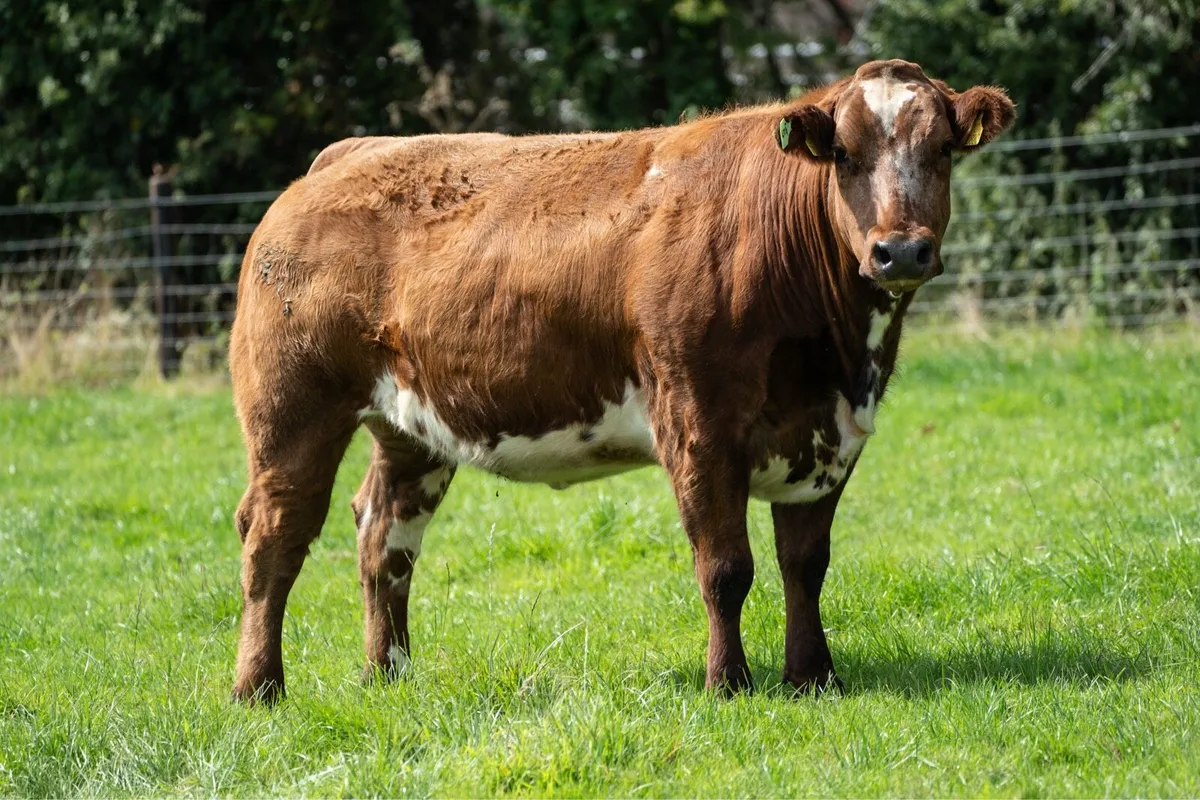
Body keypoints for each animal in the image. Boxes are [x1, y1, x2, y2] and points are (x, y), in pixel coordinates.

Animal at [228, 59, 1015, 704]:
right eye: (845, 155)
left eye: (941, 150)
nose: (900, 250)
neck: (834, 352)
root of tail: (347, 154)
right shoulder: (697, 423)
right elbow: (726, 567)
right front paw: (728, 683)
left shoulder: (829, 433)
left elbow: (805, 563)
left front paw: (813, 677)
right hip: (292, 408)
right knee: (273, 537)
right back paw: (258, 687)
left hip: (410, 426)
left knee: (385, 535)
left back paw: (386, 673)